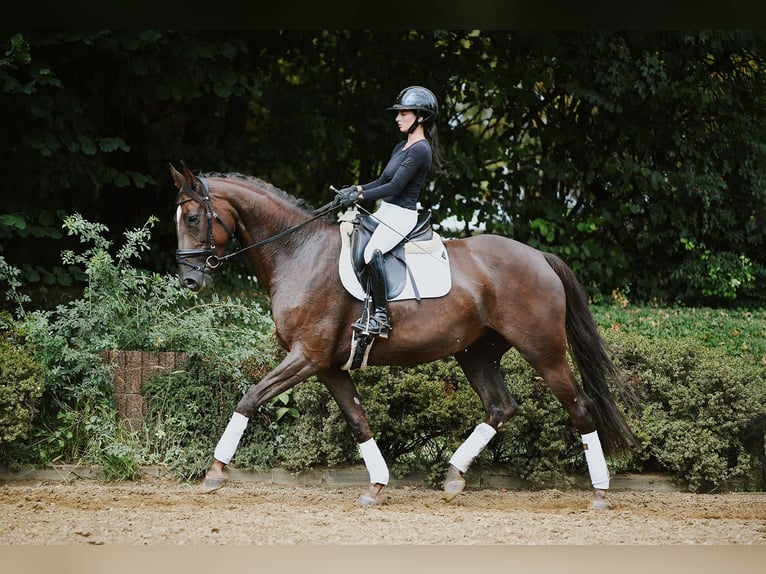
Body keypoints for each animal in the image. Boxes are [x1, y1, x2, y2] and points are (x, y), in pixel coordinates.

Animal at [171, 162, 639, 509]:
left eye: (193, 218)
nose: (190, 281)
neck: (297, 251)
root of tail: (538, 256)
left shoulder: (306, 356)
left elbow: (249, 398)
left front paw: (214, 472)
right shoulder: (326, 365)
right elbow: (358, 421)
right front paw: (376, 485)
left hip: (542, 349)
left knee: (580, 407)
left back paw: (600, 494)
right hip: (476, 353)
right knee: (500, 407)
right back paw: (453, 477)